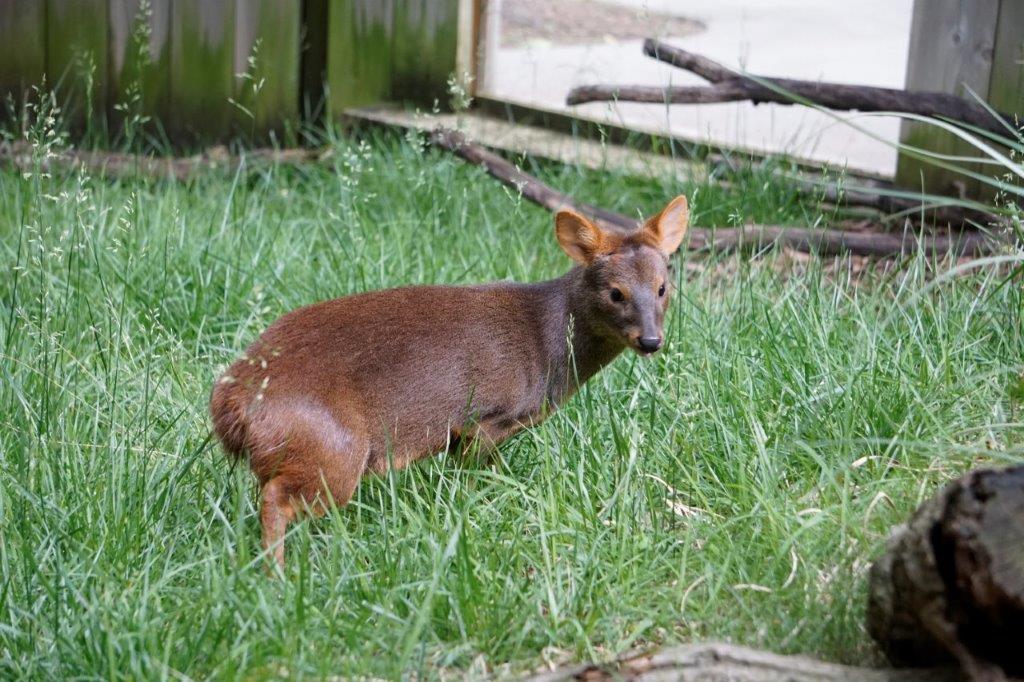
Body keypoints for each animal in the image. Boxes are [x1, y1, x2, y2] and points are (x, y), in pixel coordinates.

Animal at [207, 193, 688, 565]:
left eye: (663, 287)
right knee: (276, 499)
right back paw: (277, 575)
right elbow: (475, 479)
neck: (548, 346)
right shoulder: (486, 419)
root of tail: (230, 403)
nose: (651, 340)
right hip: (332, 451)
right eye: (615, 293)